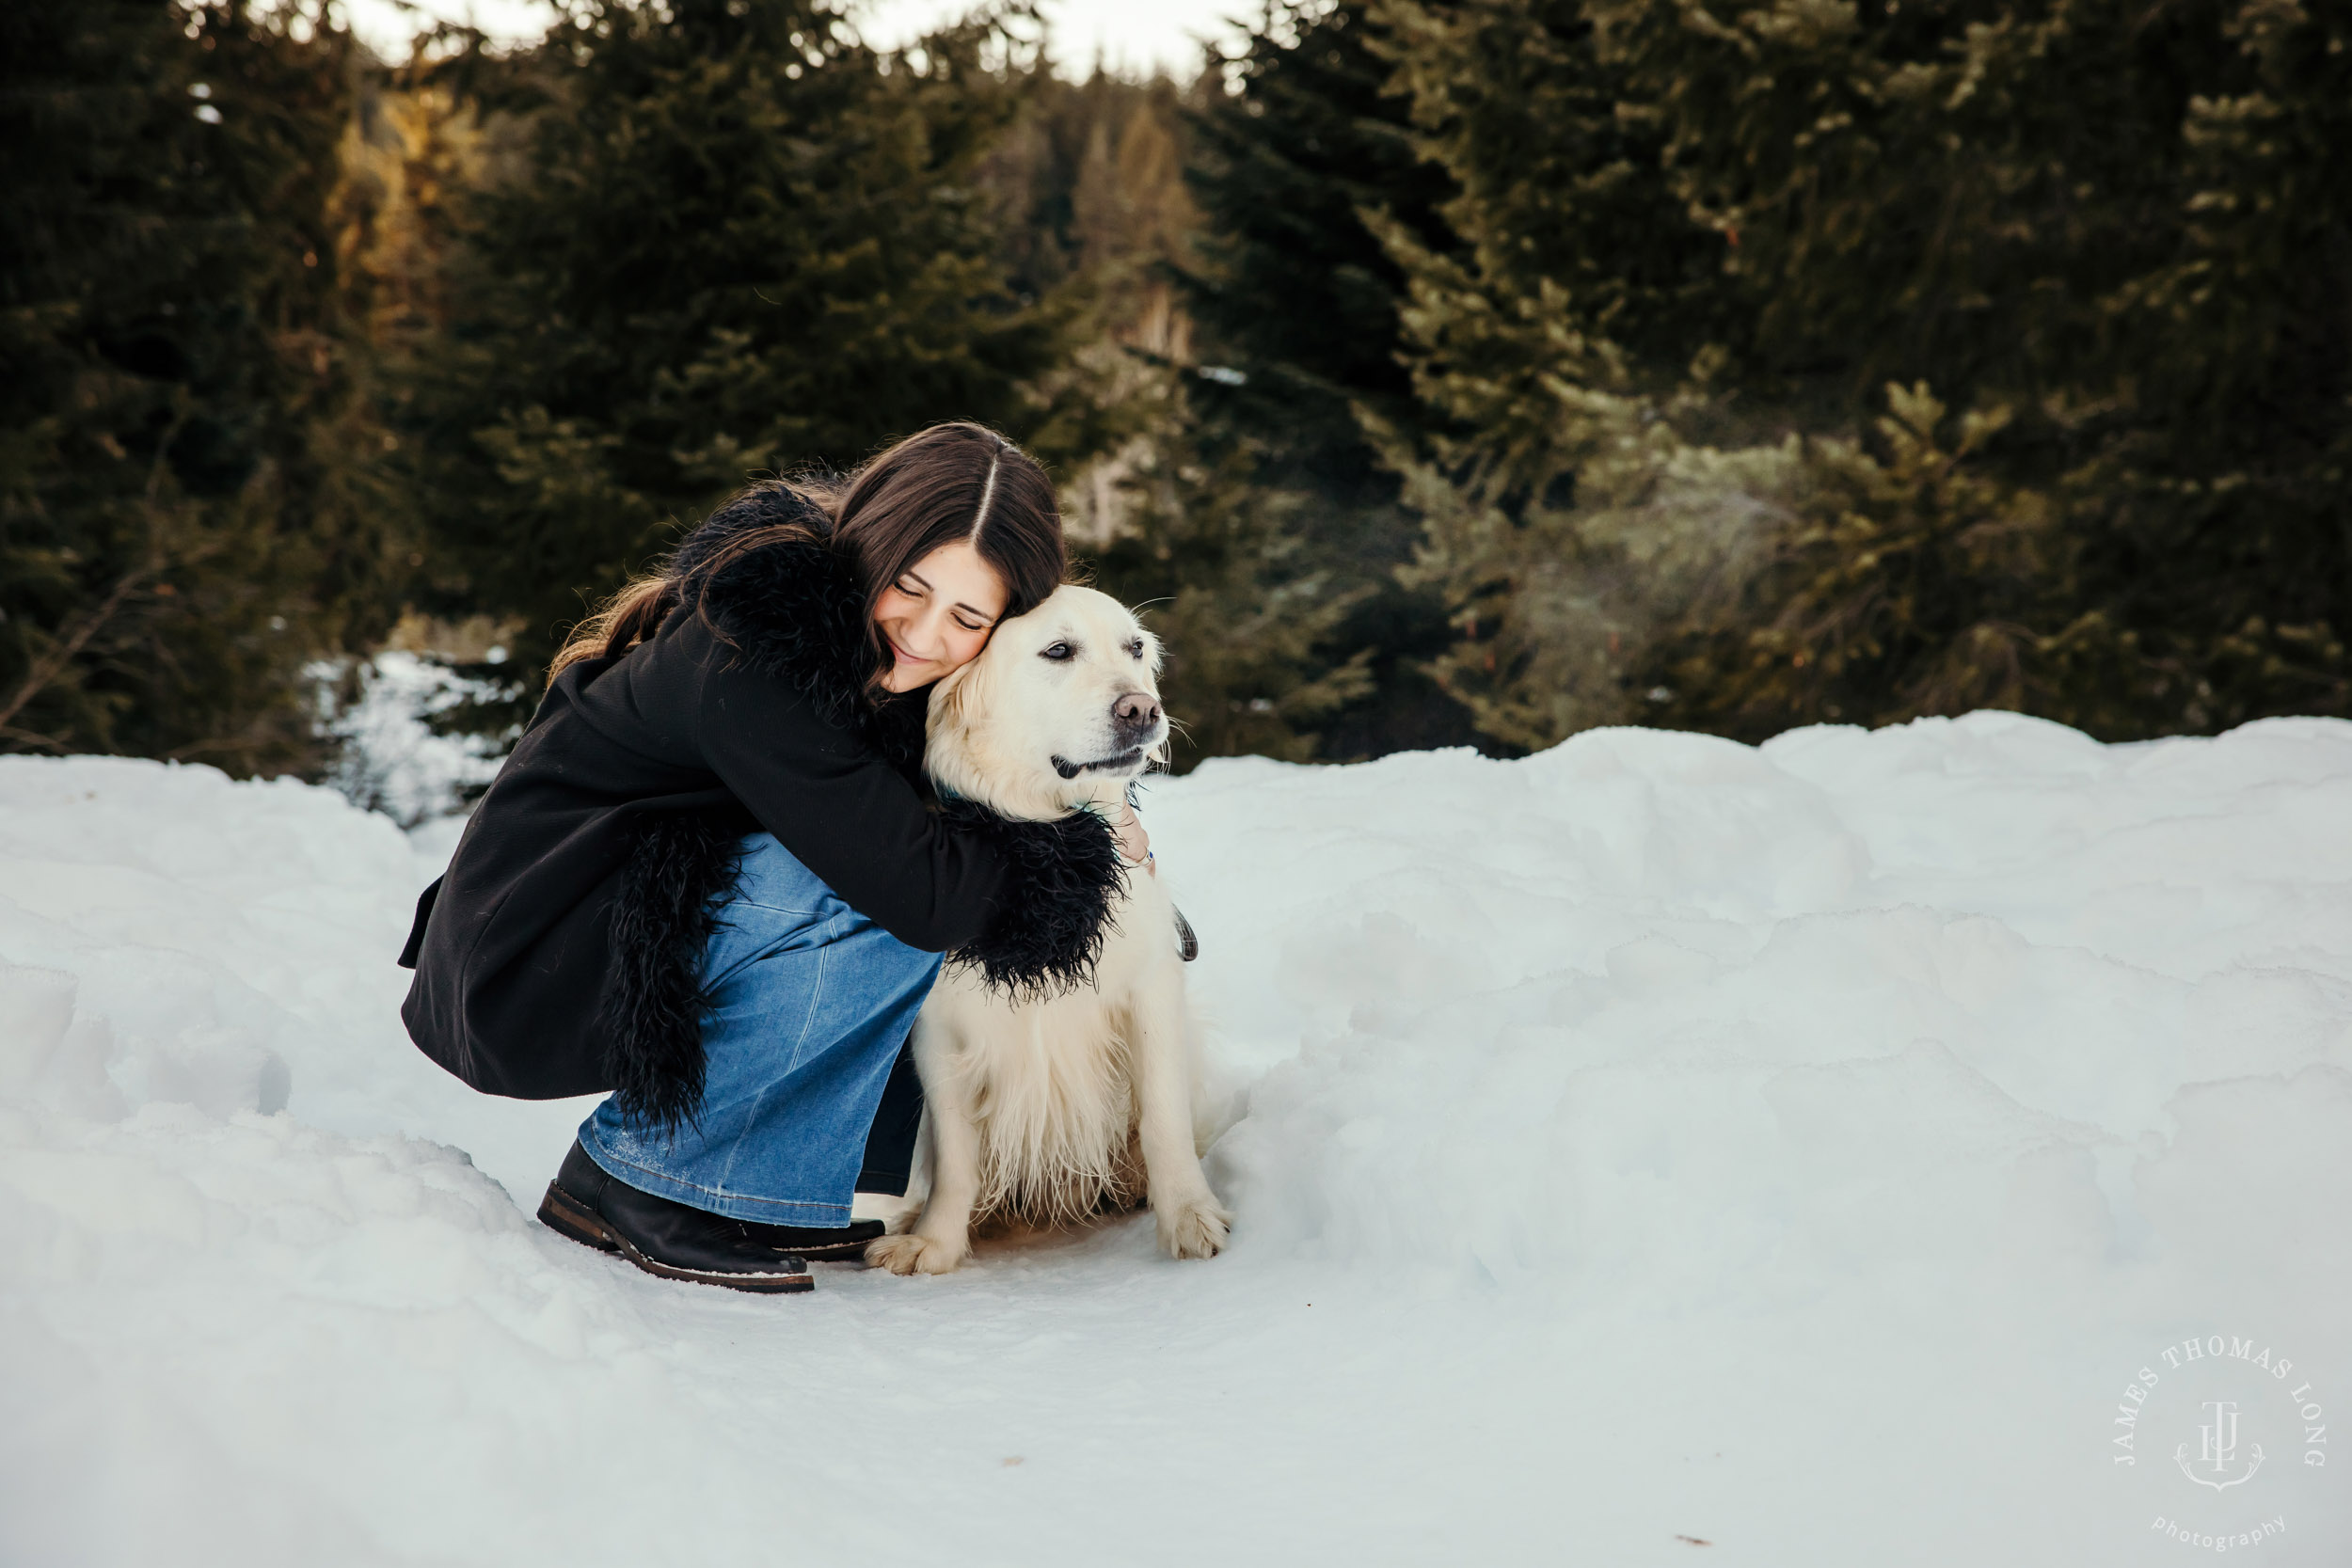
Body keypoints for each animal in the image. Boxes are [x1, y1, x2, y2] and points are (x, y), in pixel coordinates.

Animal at [861, 587, 1232, 1278]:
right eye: (1058, 651)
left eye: (1134, 648)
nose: (1143, 710)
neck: (1047, 847)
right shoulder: (937, 1030)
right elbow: (954, 1152)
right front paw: (936, 1242)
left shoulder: (1151, 991)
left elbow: (1163, 1118)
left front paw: (1190, 1214)